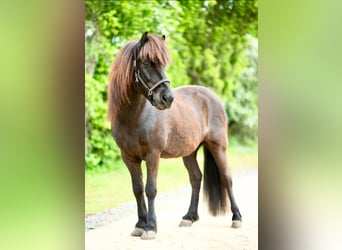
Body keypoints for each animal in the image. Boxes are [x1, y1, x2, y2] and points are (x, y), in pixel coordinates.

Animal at [108, 32, 242, 239]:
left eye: (163, 63)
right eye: (146, 62)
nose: (168, 98)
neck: (134, 117)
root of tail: (213, 96)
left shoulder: (153, 155)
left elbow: (150, 189)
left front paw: (150, 227)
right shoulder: (129, 158)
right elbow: (137, 189)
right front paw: (140, 224)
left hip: (218, 146)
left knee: (226, 178)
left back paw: (236, 217)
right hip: (189, 152)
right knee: (196, 178)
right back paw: (189, 217)